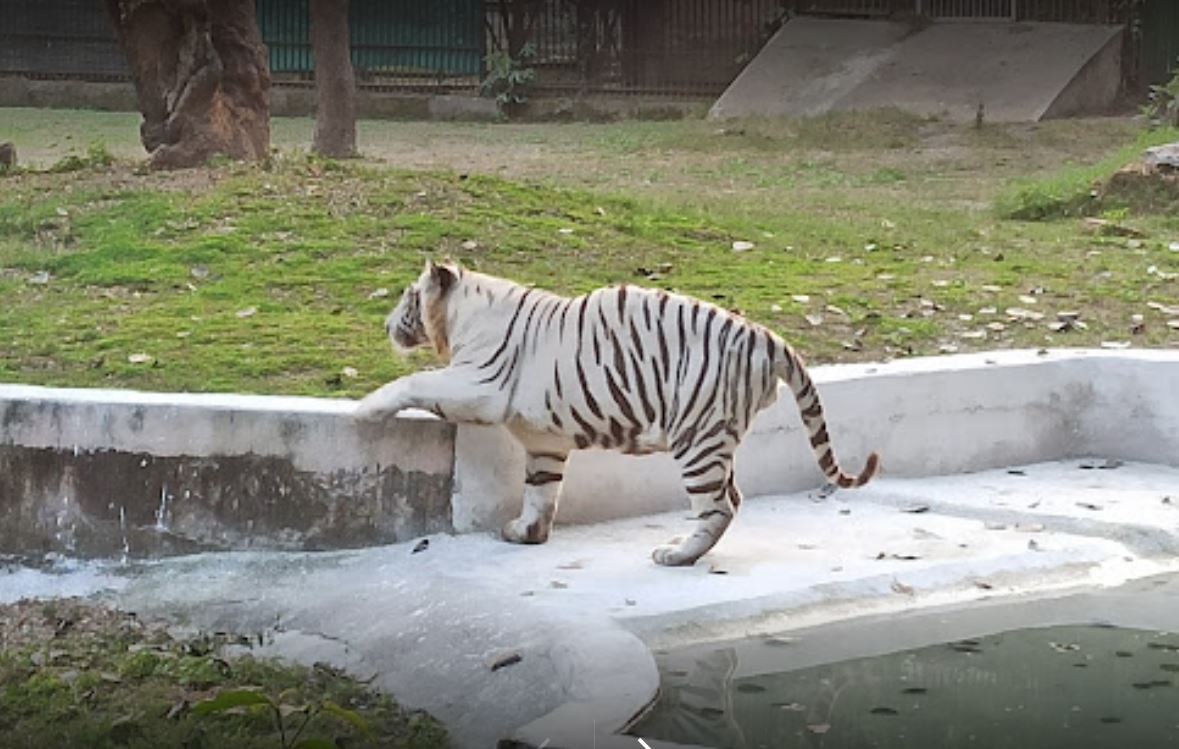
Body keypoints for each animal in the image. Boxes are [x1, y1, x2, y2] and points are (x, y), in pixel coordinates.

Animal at [353, 260, 881, 566]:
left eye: (408, 295)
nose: (385, 324)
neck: (463, 314)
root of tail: (767, 336)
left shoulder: (479, 383)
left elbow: (414, 382)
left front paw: (364, 412)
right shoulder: (545, 441)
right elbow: (541, 490)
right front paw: (527, 533)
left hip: (697, 436)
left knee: (719, 505)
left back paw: (677, 554)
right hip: (715, 435)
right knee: (733, 497)